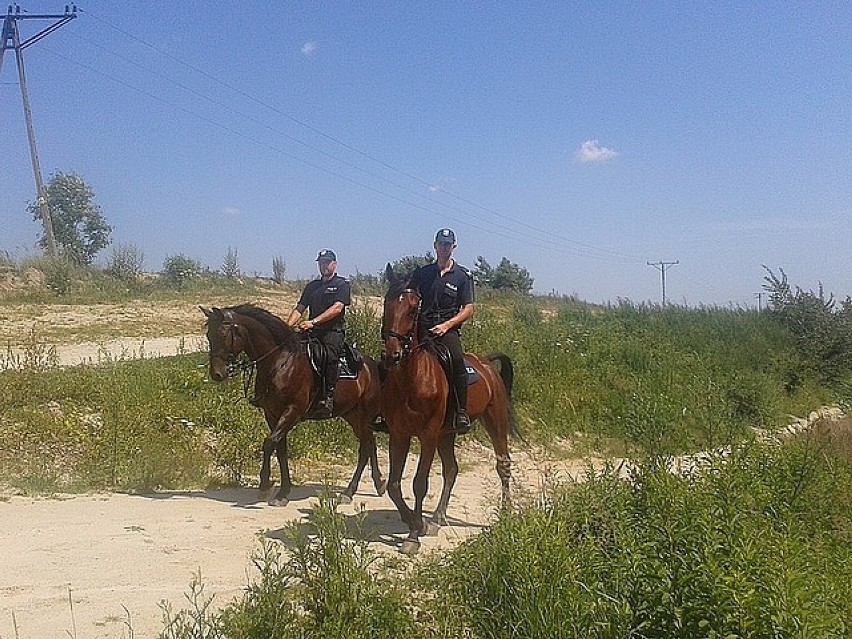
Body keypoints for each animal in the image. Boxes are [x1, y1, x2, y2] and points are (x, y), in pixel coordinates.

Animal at [200, 302, 386, 508]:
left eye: (223, 334)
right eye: (209, 335)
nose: (217, 374)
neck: (279, 362)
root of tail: (372, 365)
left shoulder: (292, 412)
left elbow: (269, 443)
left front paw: (265, 485)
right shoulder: (272, 414)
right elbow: (280, 449)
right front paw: (283, 491)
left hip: (364, 416)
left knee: (365, 449)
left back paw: (349, 492)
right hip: (353, 415)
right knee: (370, 444)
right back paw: (377, 485)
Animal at [382, 264, 516, 556]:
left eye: (413, 310)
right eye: (387, 304)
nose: (392, 355)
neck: (413, 377)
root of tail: (487, 365)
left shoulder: (428, 435)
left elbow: (419, 483)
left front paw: (413, 536)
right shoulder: (399, 434)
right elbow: (394, 485)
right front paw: (416, 523)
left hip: (494, 421)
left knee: (502, 463)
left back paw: (506, 512)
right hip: (447, 434)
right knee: (452, 469)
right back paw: (437, 518)